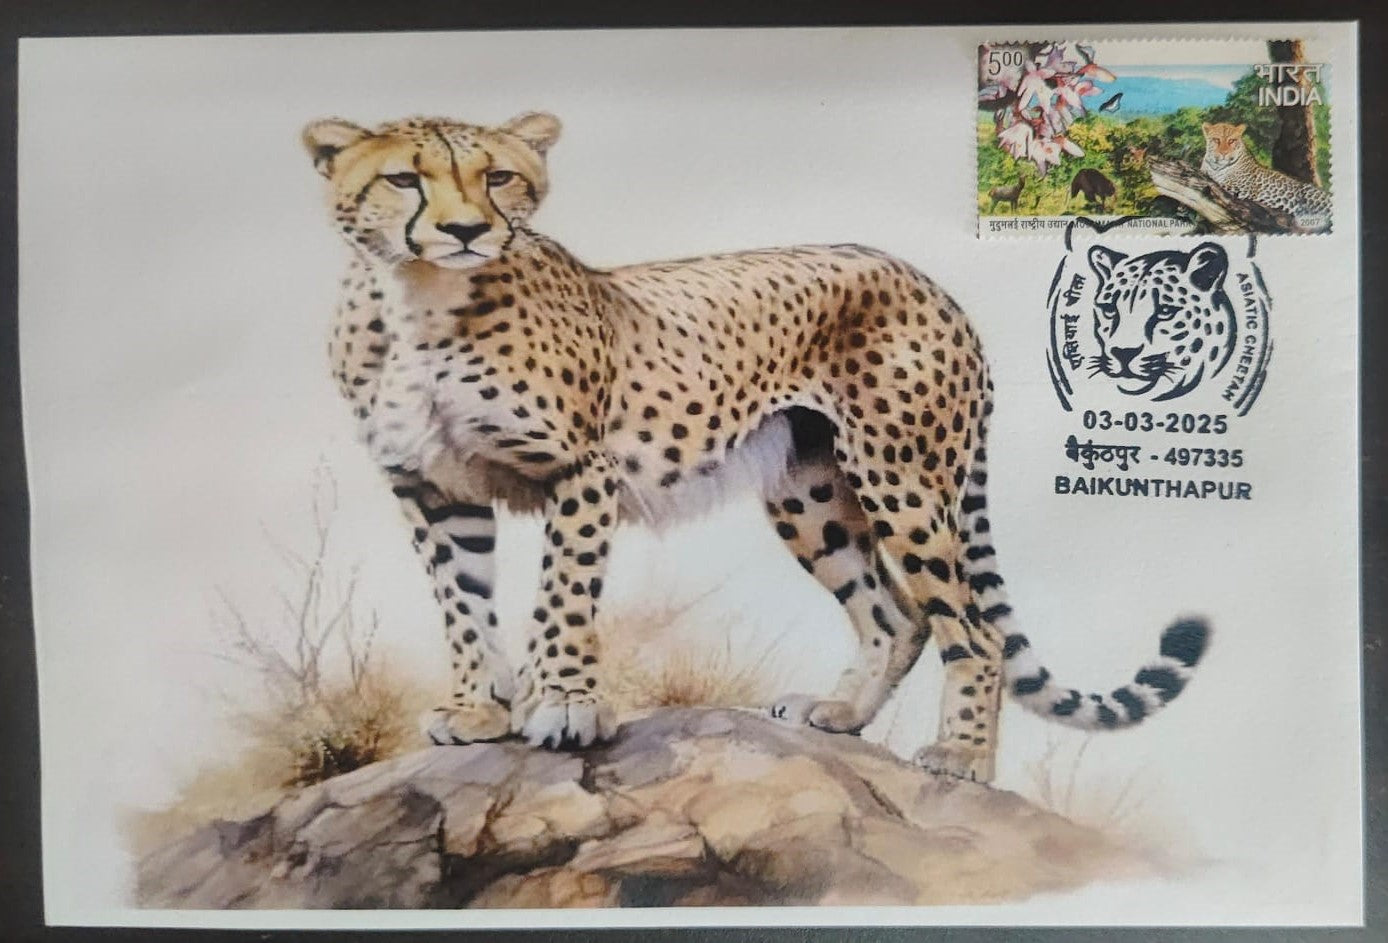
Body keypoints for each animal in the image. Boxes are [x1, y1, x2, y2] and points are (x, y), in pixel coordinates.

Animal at [303, 111, 1210, 783]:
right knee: (898, 613)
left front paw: (560, 704)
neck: (417, 300)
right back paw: (840, 715)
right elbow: (461, 601)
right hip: (810, 488)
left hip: (901, 475)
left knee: (971, 628)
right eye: (403, 178)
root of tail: (931, 283)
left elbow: (561, 595)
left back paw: (961, 756)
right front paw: (476, 707)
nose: (464, 231)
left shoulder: (580, 469)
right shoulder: (430, 485)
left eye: (498, 177)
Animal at [1200, 122, 1331, 232]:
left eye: (1232, 140)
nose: (1224, 153)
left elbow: (1219, 181)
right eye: (1216, 140)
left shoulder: (1242, 188)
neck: (1216, 166)